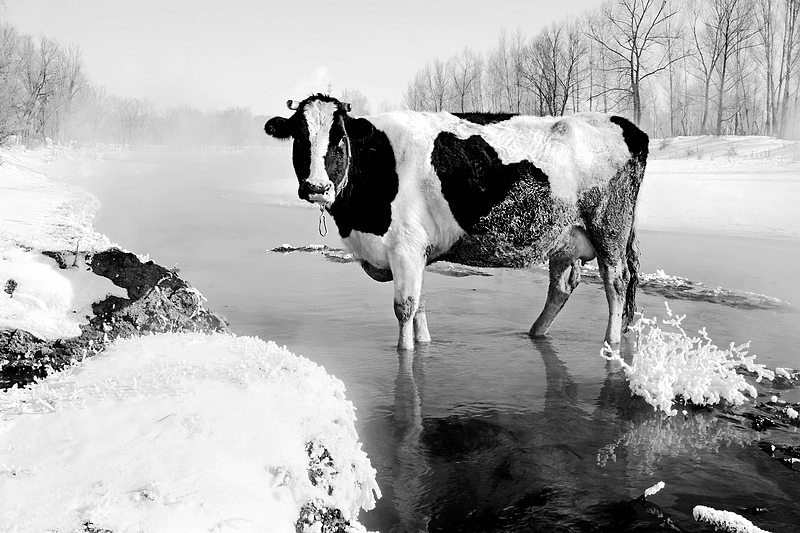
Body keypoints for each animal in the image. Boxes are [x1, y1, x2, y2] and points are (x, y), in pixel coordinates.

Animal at [266, 93, 648, 352]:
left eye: (340, 138)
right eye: (299, 137)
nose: (316, 187)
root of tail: (625, 125)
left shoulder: (405, 246)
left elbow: (404, 308)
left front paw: (406, 354)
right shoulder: (415, 252)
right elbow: (419, 304)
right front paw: (424, 346)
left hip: (609, 229)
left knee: (615, 284)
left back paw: (611, 343)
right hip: (564, 237)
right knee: (562, 288)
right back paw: (535, 333)